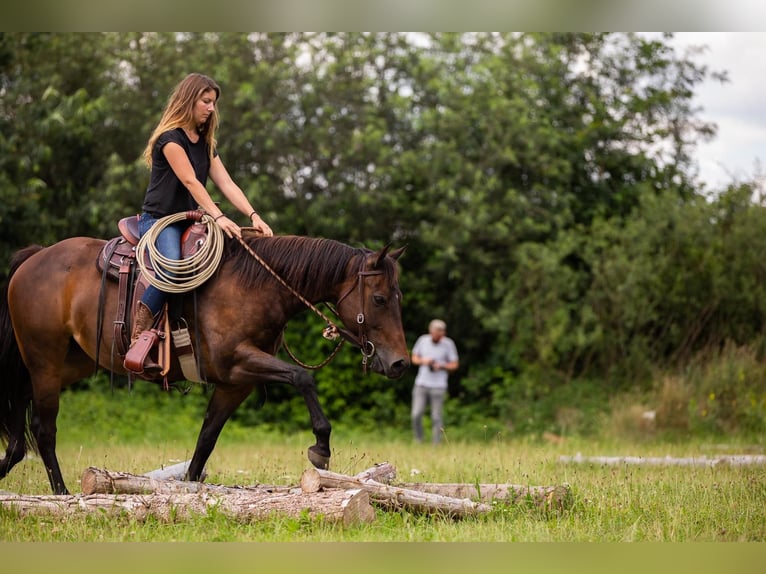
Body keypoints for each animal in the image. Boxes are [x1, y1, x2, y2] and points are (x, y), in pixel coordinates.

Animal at [0, 233, 409, 494]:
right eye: (379, 298)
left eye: (397, 296)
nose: (400, 364)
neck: (256, 287)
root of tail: (33, 258)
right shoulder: (238, 364)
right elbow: (301, 378)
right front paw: (321, 447)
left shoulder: (235, 384)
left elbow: (207, 437)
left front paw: (191, 487)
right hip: (45, 361)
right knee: (43, 428)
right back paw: (61, 493)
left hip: (68, 363)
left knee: (20, 406)